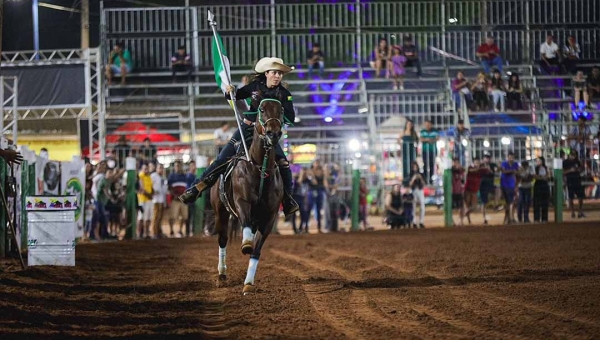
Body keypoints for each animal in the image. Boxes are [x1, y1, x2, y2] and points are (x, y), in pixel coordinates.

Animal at [210, 98, 284, 294]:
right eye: (261, 110)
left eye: (281, 110)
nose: (273, 133)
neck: (260, 168)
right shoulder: (242, 202)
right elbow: (246, 227)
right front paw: (246, 243)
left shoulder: (269, 217)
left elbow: (257, 250)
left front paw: (249, 283)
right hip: (220, 211)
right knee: (222, 239)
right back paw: (221, 276)